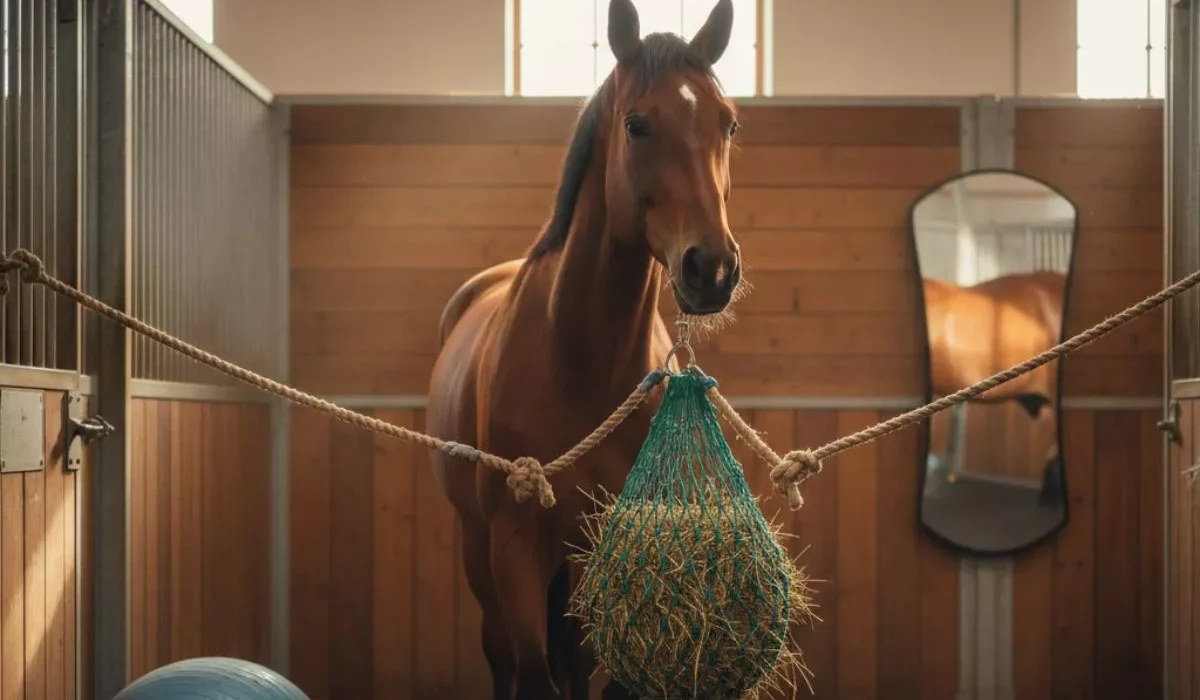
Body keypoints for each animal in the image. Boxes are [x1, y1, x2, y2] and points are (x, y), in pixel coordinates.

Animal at [426, 1, 743, 698]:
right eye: (637, 124)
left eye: (728, 123)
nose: (711, 268)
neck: (577, 362)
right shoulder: (515, 546)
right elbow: (532, 672)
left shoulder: (609, 550)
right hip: (477, 547)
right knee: (503, 656)